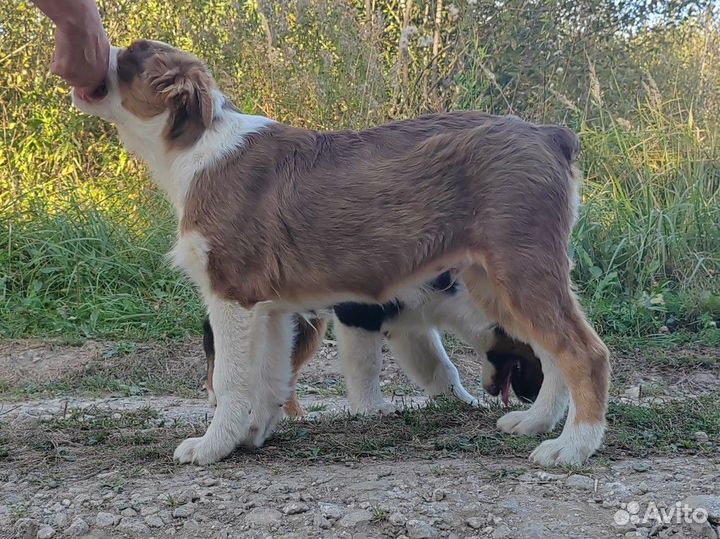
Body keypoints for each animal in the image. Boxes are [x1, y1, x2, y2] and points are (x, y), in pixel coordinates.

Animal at [76, 40, 612, 466]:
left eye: (130, 57)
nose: (91, 54)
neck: (196, 147)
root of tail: (549, 134)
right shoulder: (271, 311)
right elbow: (269, 379)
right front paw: (253, 435)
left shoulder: (232, 295)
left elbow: (231, 379)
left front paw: (213, 446)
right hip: (495, 281)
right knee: (551, 351)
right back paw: (536, 423)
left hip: (520, 269)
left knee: (584, 353)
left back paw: (573, 447)